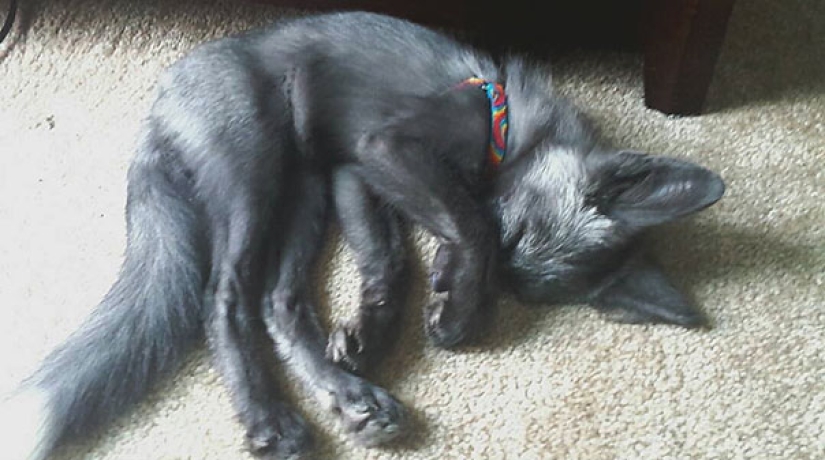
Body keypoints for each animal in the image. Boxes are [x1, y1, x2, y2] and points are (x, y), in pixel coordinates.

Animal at [0, 11, 724, 460]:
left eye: (522, 287)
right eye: (512, 233)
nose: (470, 292)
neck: (511, 126)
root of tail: (158, 109)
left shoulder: (352, 173)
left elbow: (391, 259)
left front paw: (377, 334)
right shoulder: (384, 151)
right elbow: (455, 226)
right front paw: (451, 315)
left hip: (305, 193)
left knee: (280, 303)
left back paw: (349, 398)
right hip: (254, 173)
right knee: (224, 297)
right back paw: (268, 419)